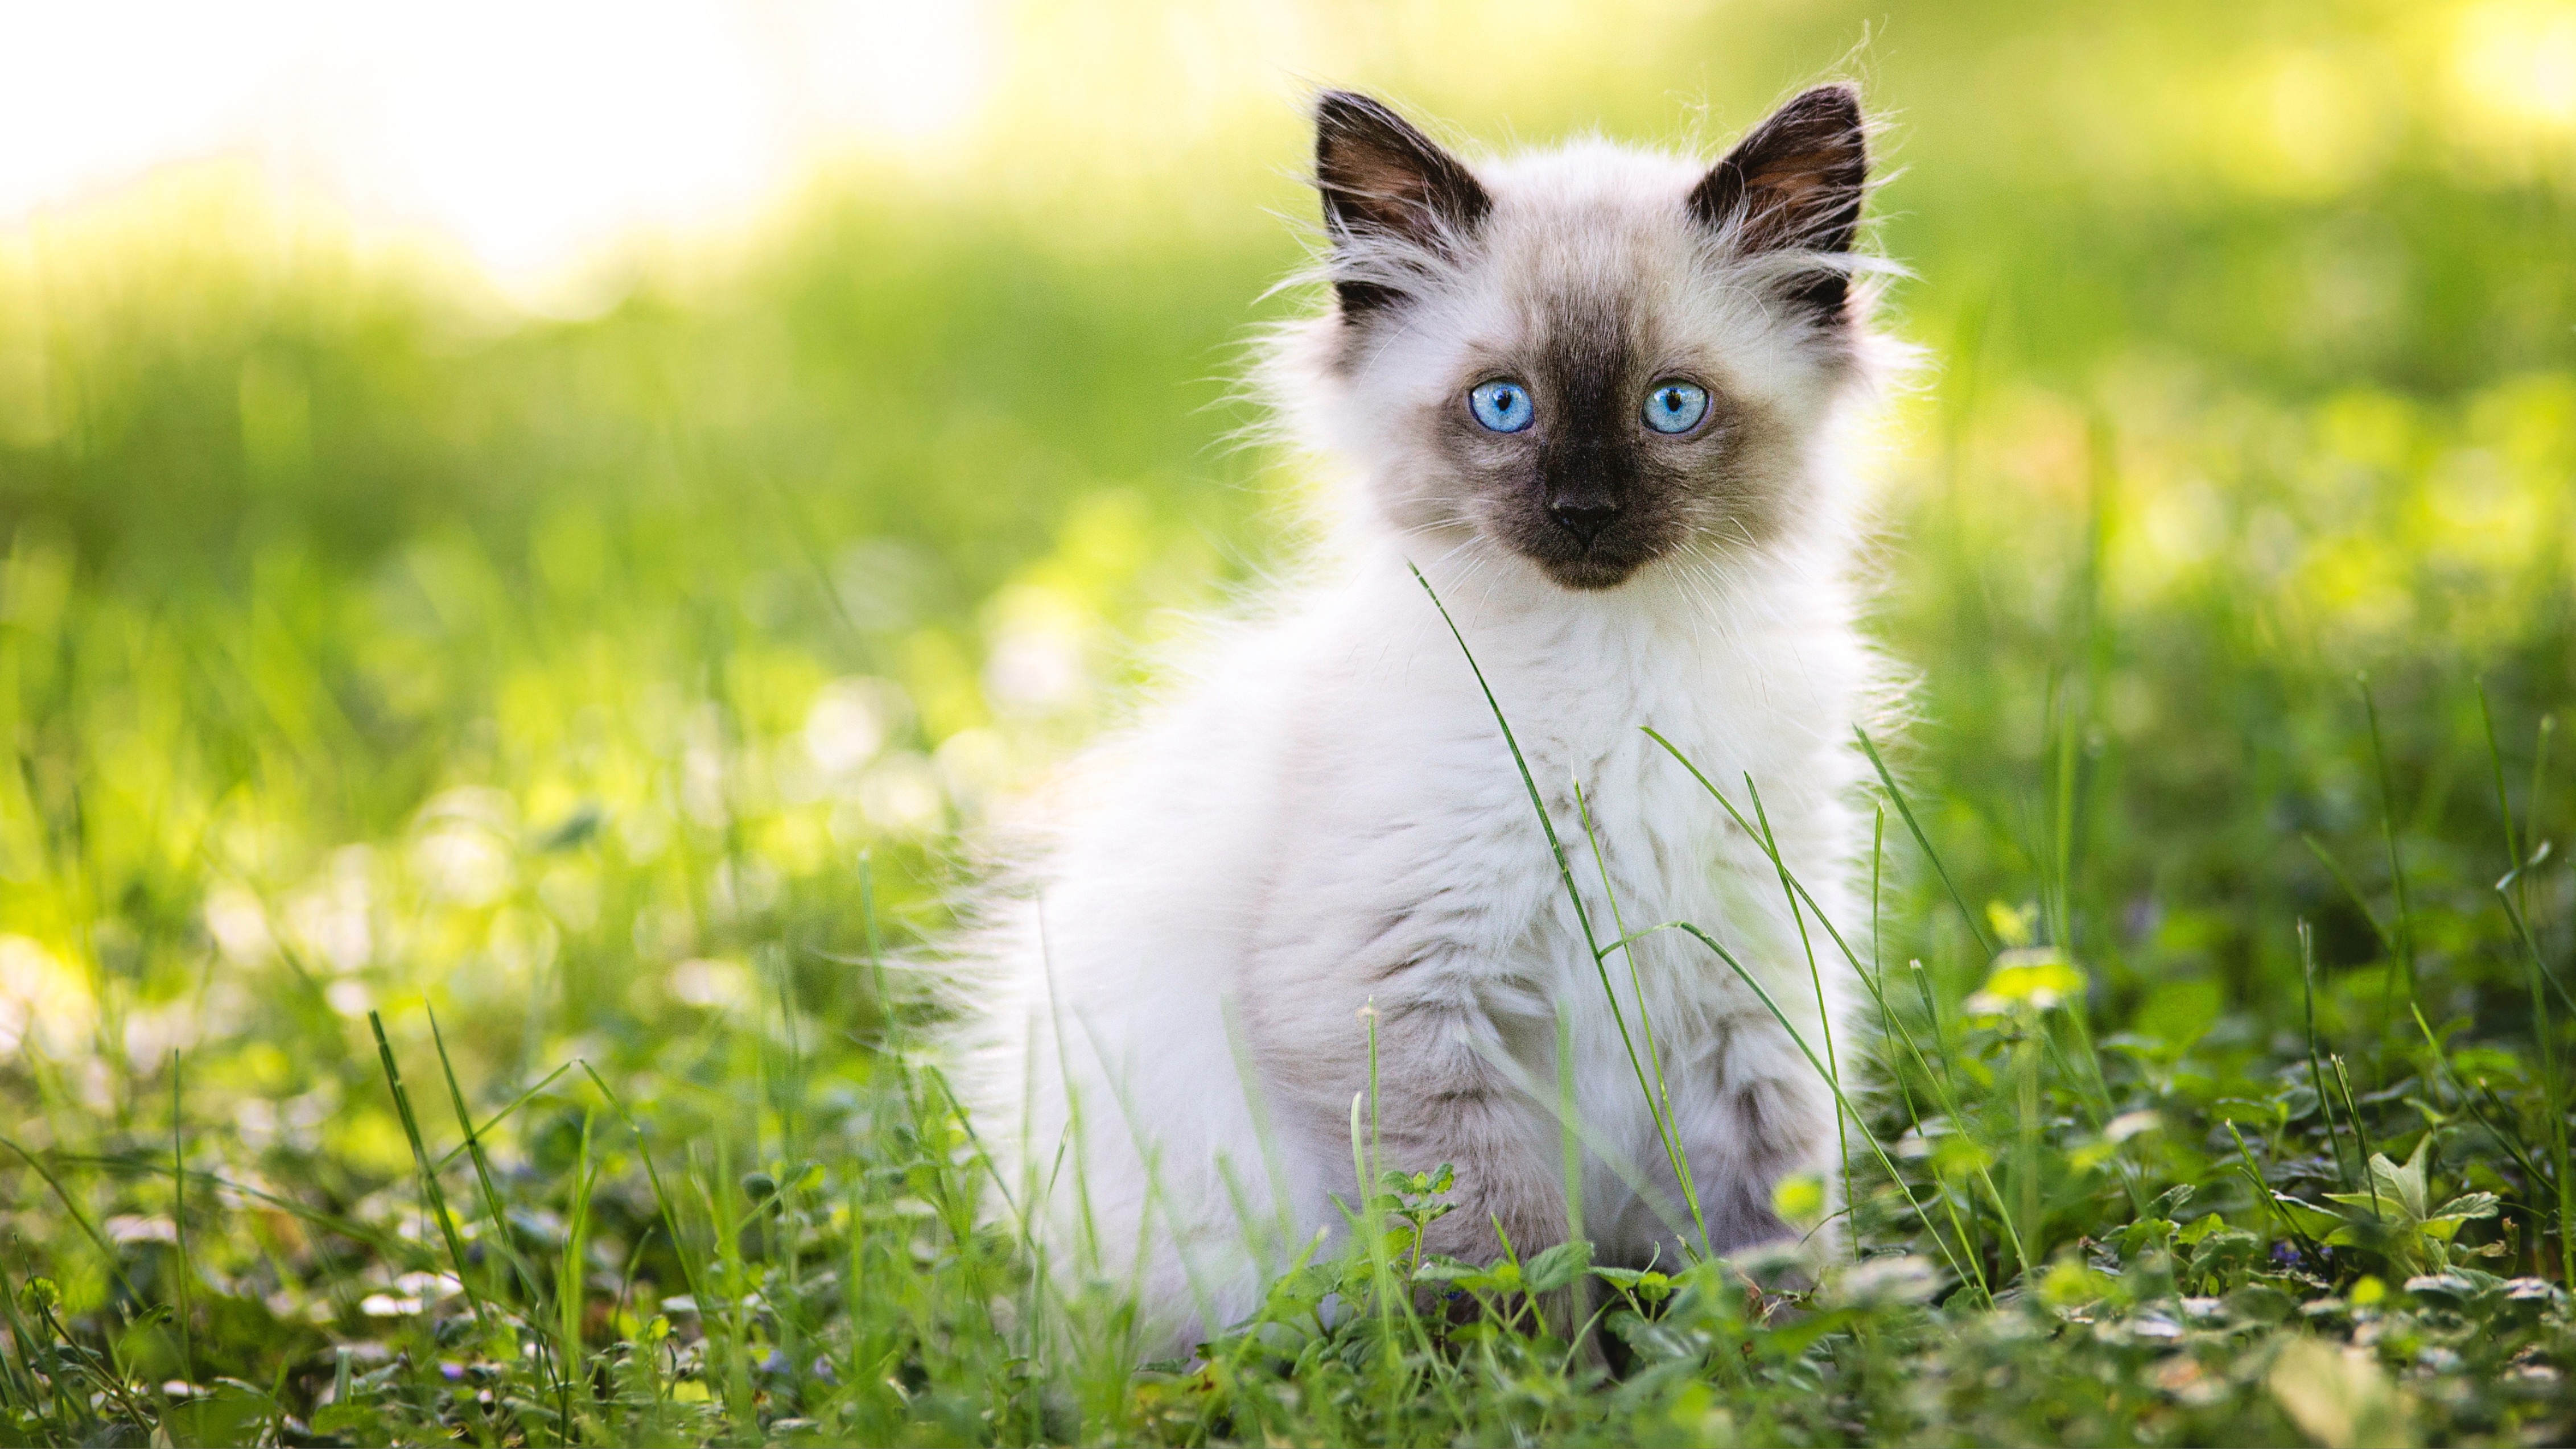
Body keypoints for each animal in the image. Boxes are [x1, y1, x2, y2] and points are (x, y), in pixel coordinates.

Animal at [947, 82, 1895, 1359]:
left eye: (1672, 406)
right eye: (1502, 406)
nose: (1583, 512)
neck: (1604, 678)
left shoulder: (1749, 973)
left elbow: (1765, 1211)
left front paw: (1781, 1345)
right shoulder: (1394, 989)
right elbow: (1500, 1248)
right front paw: (1557, 1377)